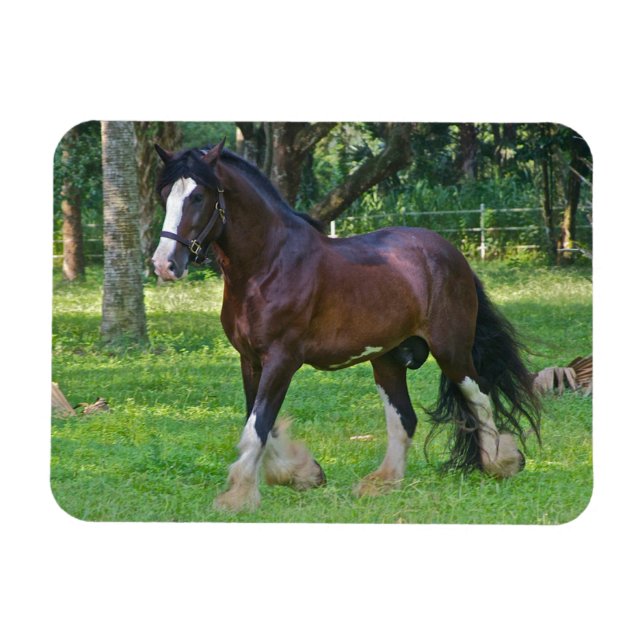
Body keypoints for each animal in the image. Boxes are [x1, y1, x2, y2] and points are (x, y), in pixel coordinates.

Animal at [151, 140, 541, 512]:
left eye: (198, 196)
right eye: (164, 193)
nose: (164, 265)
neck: (269, 265)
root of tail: (451, 254)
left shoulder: (282, 360)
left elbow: (258, 426)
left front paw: (238, 496)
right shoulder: (250, 360)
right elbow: (259, 421)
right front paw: (302, 473)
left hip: (451, 350)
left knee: (479, 397)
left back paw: (501, 462)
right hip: (388, 359)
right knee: (405, 419)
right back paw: (381, 483)